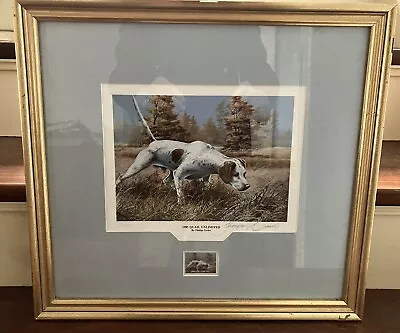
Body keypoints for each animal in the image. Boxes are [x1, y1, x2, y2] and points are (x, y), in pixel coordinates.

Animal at [114, 96, 248, 201]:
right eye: (236, 174)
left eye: (244, 173)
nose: (247, 186)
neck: (208, 156)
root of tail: (154, 143)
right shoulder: (178, 174)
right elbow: (181, 196)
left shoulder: (204, 180)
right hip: (138, 166)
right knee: (120, 177)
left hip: (169, 173)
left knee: (165, 182)